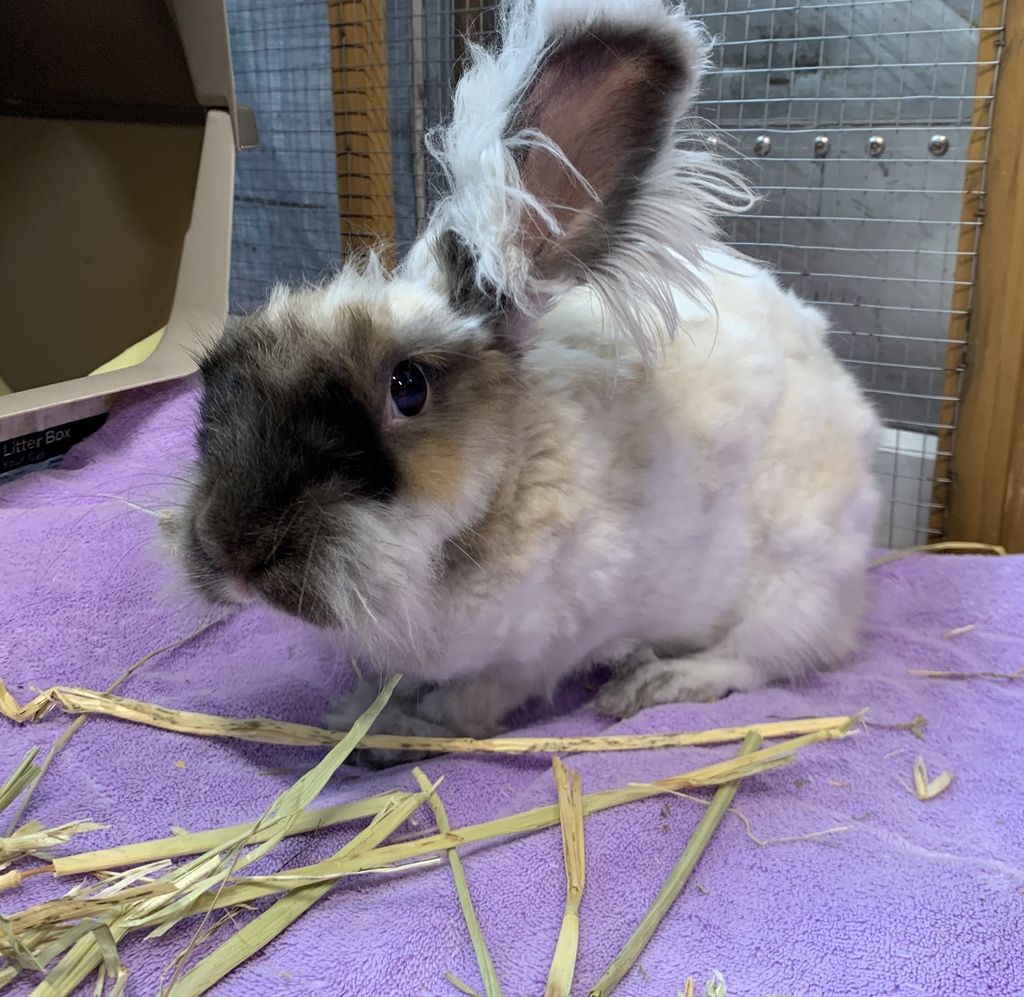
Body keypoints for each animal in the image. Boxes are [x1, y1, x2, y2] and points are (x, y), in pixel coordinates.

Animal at [171, 0, 881, 766]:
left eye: (407, 388)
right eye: (217, 371)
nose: (232, 551)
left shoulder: (543, 647)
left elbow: (471, 704)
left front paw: (394, 731)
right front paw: (360, 711)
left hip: (794, 588)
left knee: (762, 657)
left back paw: (655, 681)